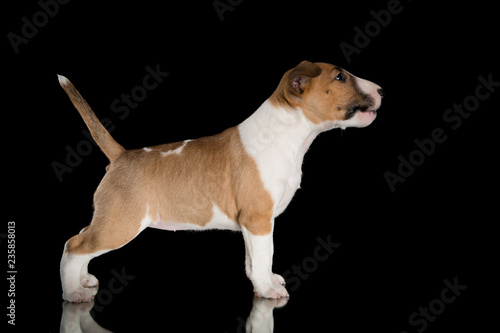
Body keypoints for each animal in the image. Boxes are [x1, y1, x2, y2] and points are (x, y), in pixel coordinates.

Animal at [59, 60, 382, 300]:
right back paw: (73, 292)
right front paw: (268, 290)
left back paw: (83, 279)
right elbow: (265, 254)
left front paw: (263, 281)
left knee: (82, 237)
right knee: (74, 246)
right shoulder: (259, 219)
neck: (287, 133)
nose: (381, 89)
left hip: (109, 218)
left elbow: (254, 259)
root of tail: (121, 155)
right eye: (340, 77)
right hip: (121, 223)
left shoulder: (253, 225)